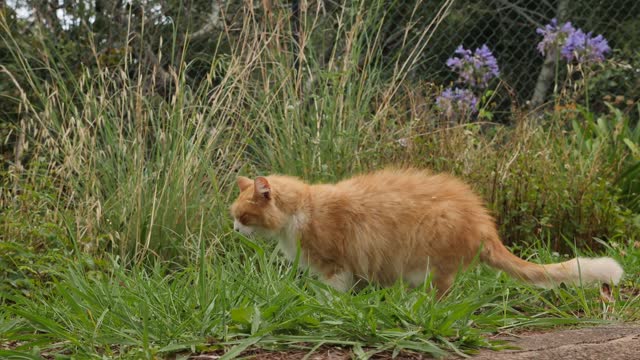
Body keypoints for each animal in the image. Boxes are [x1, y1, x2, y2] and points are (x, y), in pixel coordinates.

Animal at [231, 169, 624, 296]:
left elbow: (334, 291)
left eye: (242, 216)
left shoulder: (335, 267)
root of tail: (485, 224)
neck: (301, 210)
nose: (233, 228)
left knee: (441, 294)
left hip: (433, 254)